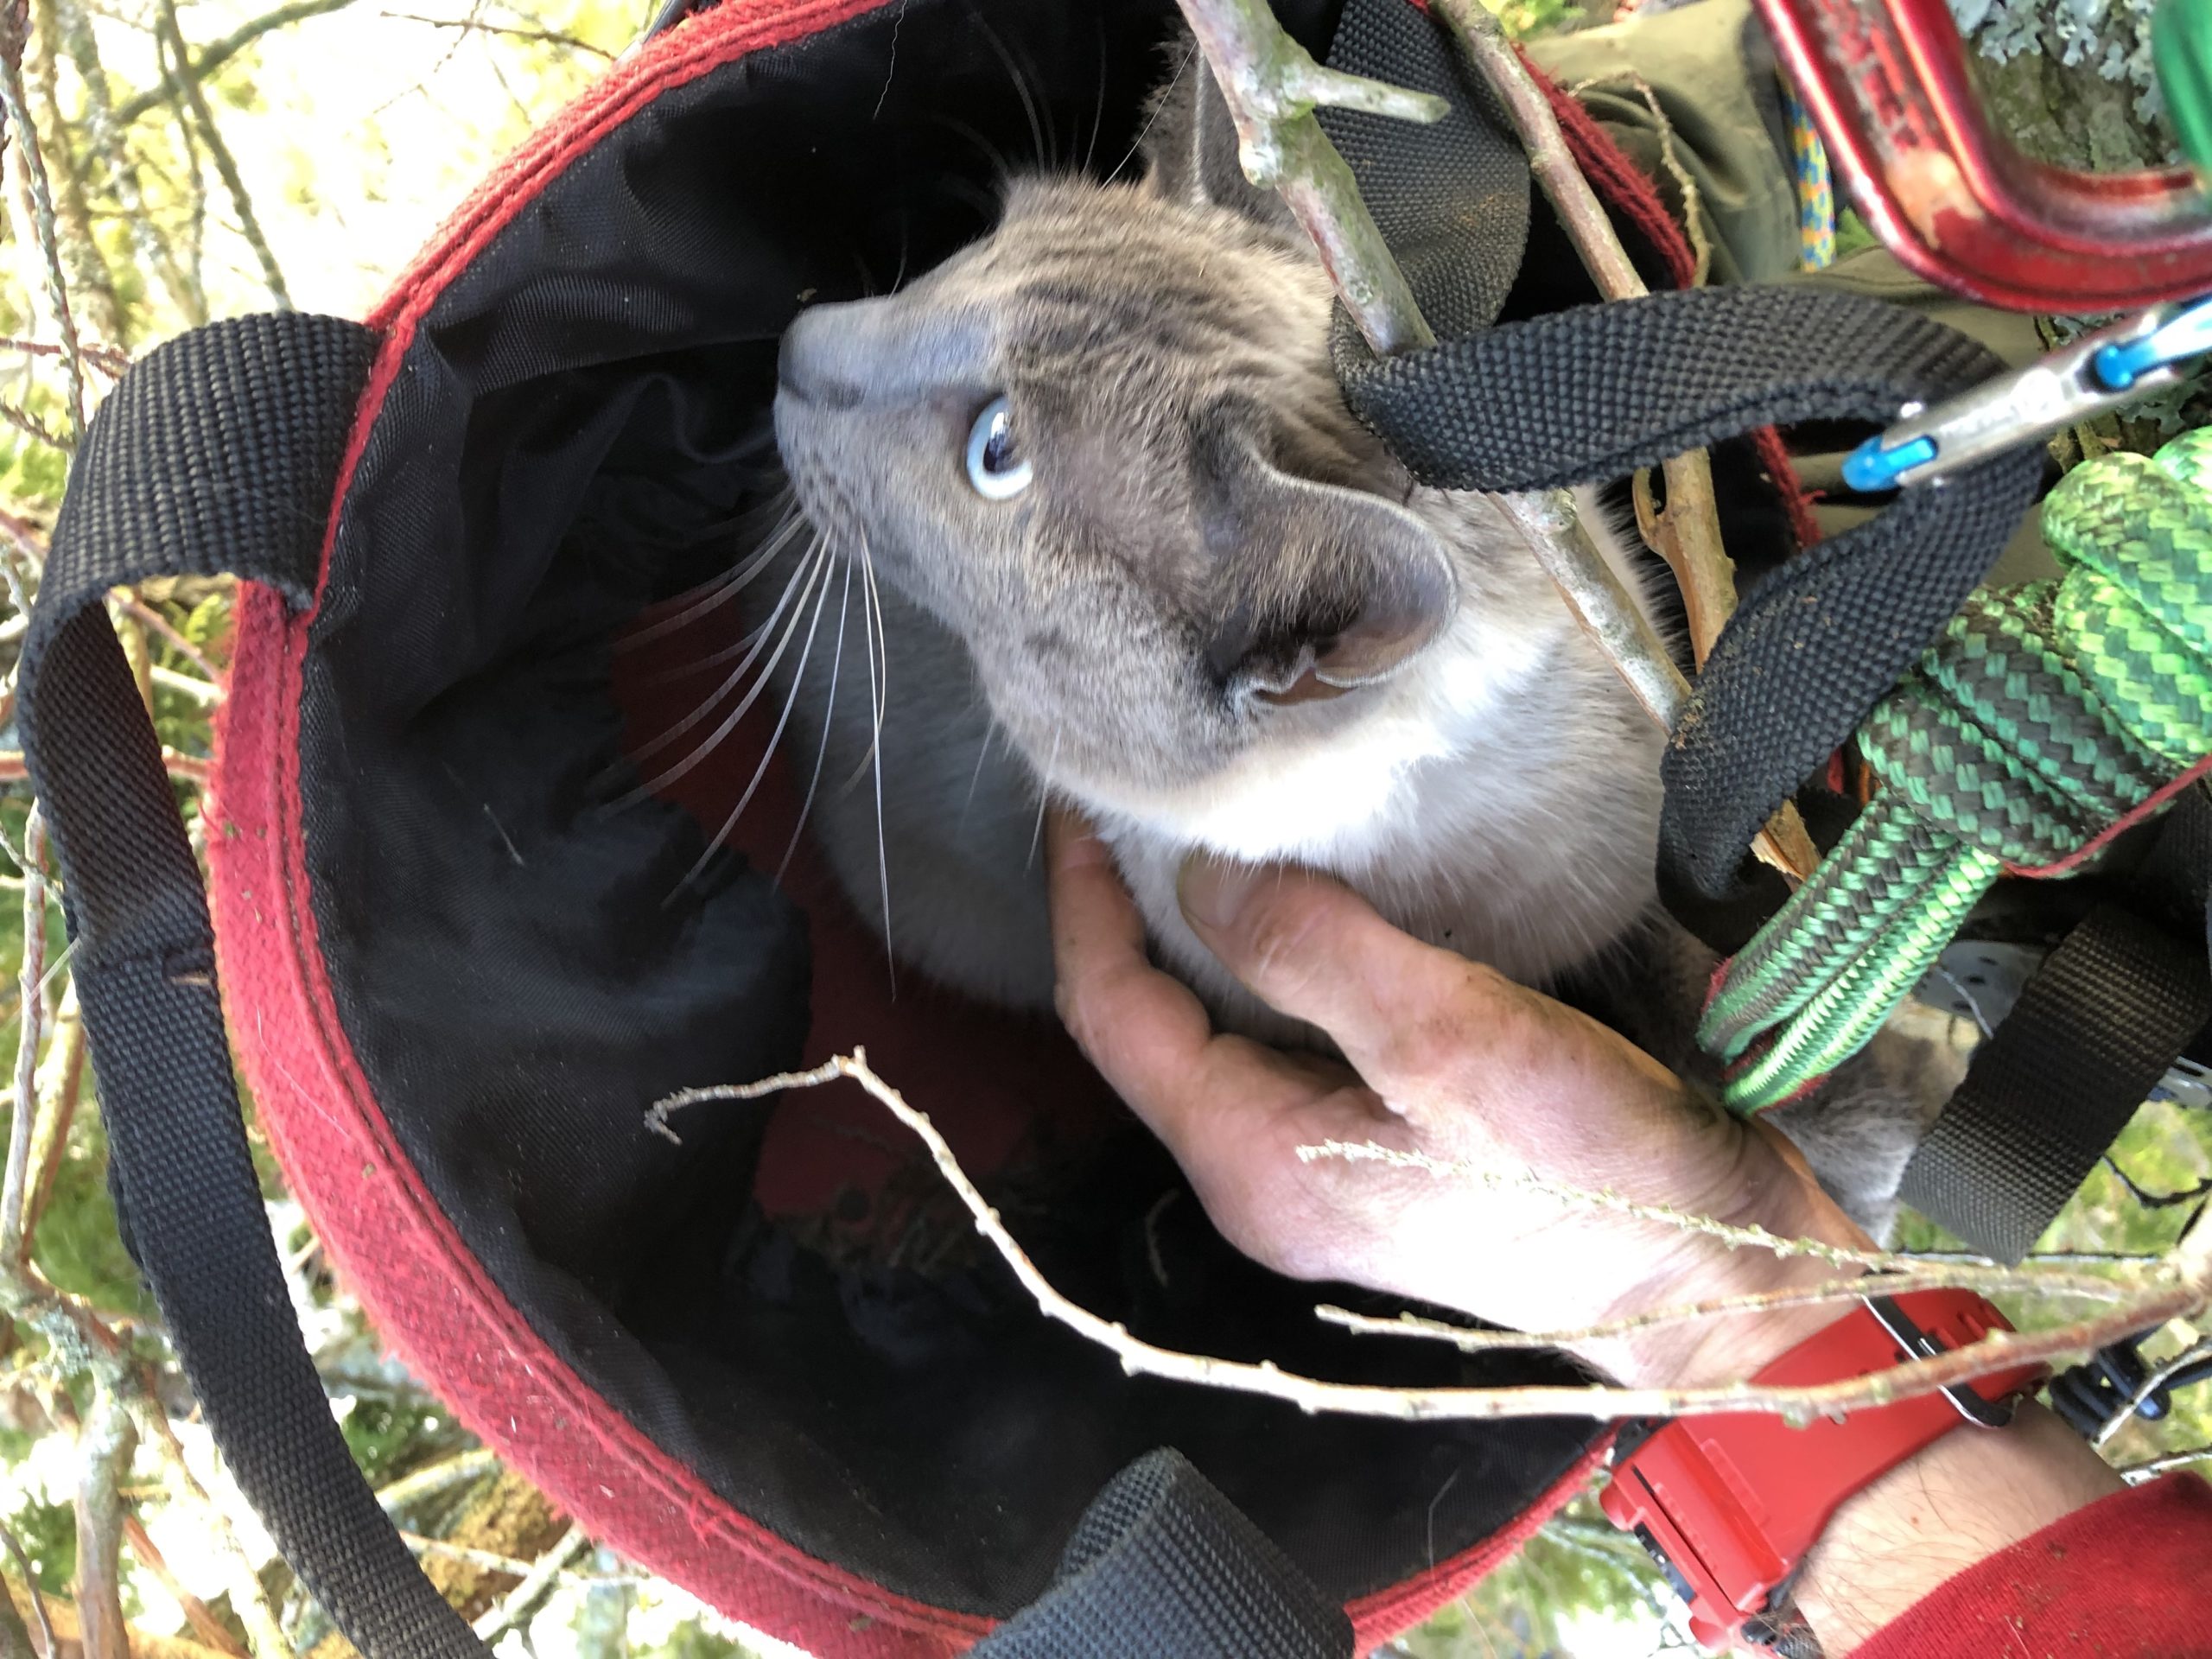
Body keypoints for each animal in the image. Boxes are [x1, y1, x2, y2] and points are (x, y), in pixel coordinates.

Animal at [747, 48, 1955, 1238]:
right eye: (987, 236)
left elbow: (1706, 999)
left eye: (996, 450)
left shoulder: (1640, 868)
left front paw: (1867, 1114)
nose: (797, 344)